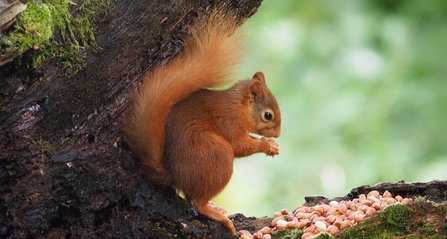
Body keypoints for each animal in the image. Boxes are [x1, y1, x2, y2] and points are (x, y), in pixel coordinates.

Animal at [122, 9, 282, 233]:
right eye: (268, 115)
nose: (278, 134)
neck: (238, 107)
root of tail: (175, 175)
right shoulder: (228, 121)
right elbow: (239, 145)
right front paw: (266, 145)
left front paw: (272, 144)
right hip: (215, 155)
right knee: (196, 200)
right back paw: (216, 213)